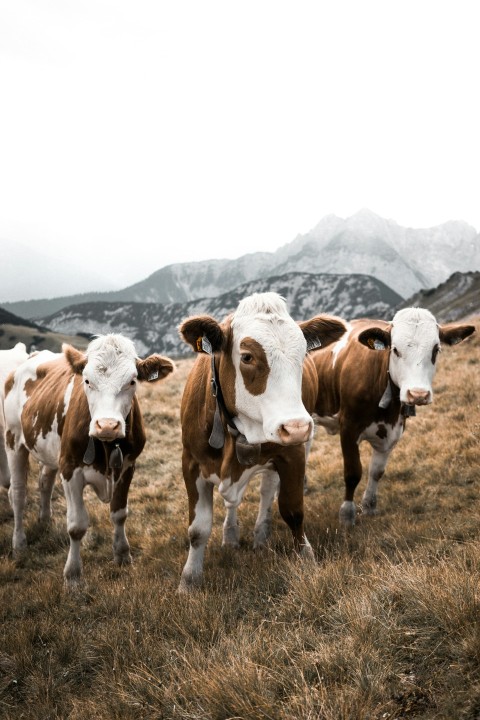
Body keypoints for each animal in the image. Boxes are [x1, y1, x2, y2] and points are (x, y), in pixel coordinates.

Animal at [4, 334, 175, 585]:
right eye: (87, 381)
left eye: (132, 381)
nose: (107, 425)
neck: (106, 445)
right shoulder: (70, 469)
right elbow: (76, 526)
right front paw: (73, 575)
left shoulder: (127, 467)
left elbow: (119, 513)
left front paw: (123, 555)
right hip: (13, 439)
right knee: (17, 494)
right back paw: (19, 544)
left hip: (50, 451)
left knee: (44, 482)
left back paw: (44, 521)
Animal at [177, 292, 348, 592]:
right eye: (247, 356)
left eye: (303, 353)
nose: (296, 426)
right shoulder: (191, 462)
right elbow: (197, 529)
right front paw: (189, 581)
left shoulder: (292, 453)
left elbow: (293, 510)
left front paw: (306, 560)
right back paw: (231, 535)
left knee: (268, 491)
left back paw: (260, 534)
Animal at [310, 307, 475, 526]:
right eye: (395, 350)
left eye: (436, 350)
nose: (418, 394)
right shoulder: (348, 426)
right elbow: (353, 473)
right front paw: (347, 514)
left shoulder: (393, 431)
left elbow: (376, 472)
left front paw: (369, 506)